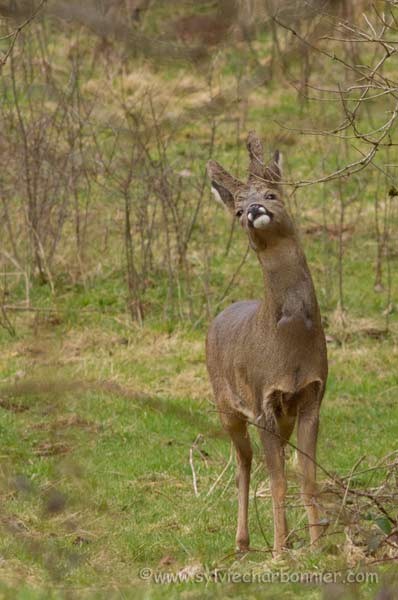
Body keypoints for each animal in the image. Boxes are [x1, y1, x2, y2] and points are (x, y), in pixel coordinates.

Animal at [207, 134, 328, 556]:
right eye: (238, 209)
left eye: (273, 193)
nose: (254, 210)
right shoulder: (263, 402)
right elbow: (276, 481)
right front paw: (278, 551)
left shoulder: (310, 396)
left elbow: (306, 477)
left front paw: (316, 544)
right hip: (226, 406)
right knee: (243, 465)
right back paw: (243, 541)